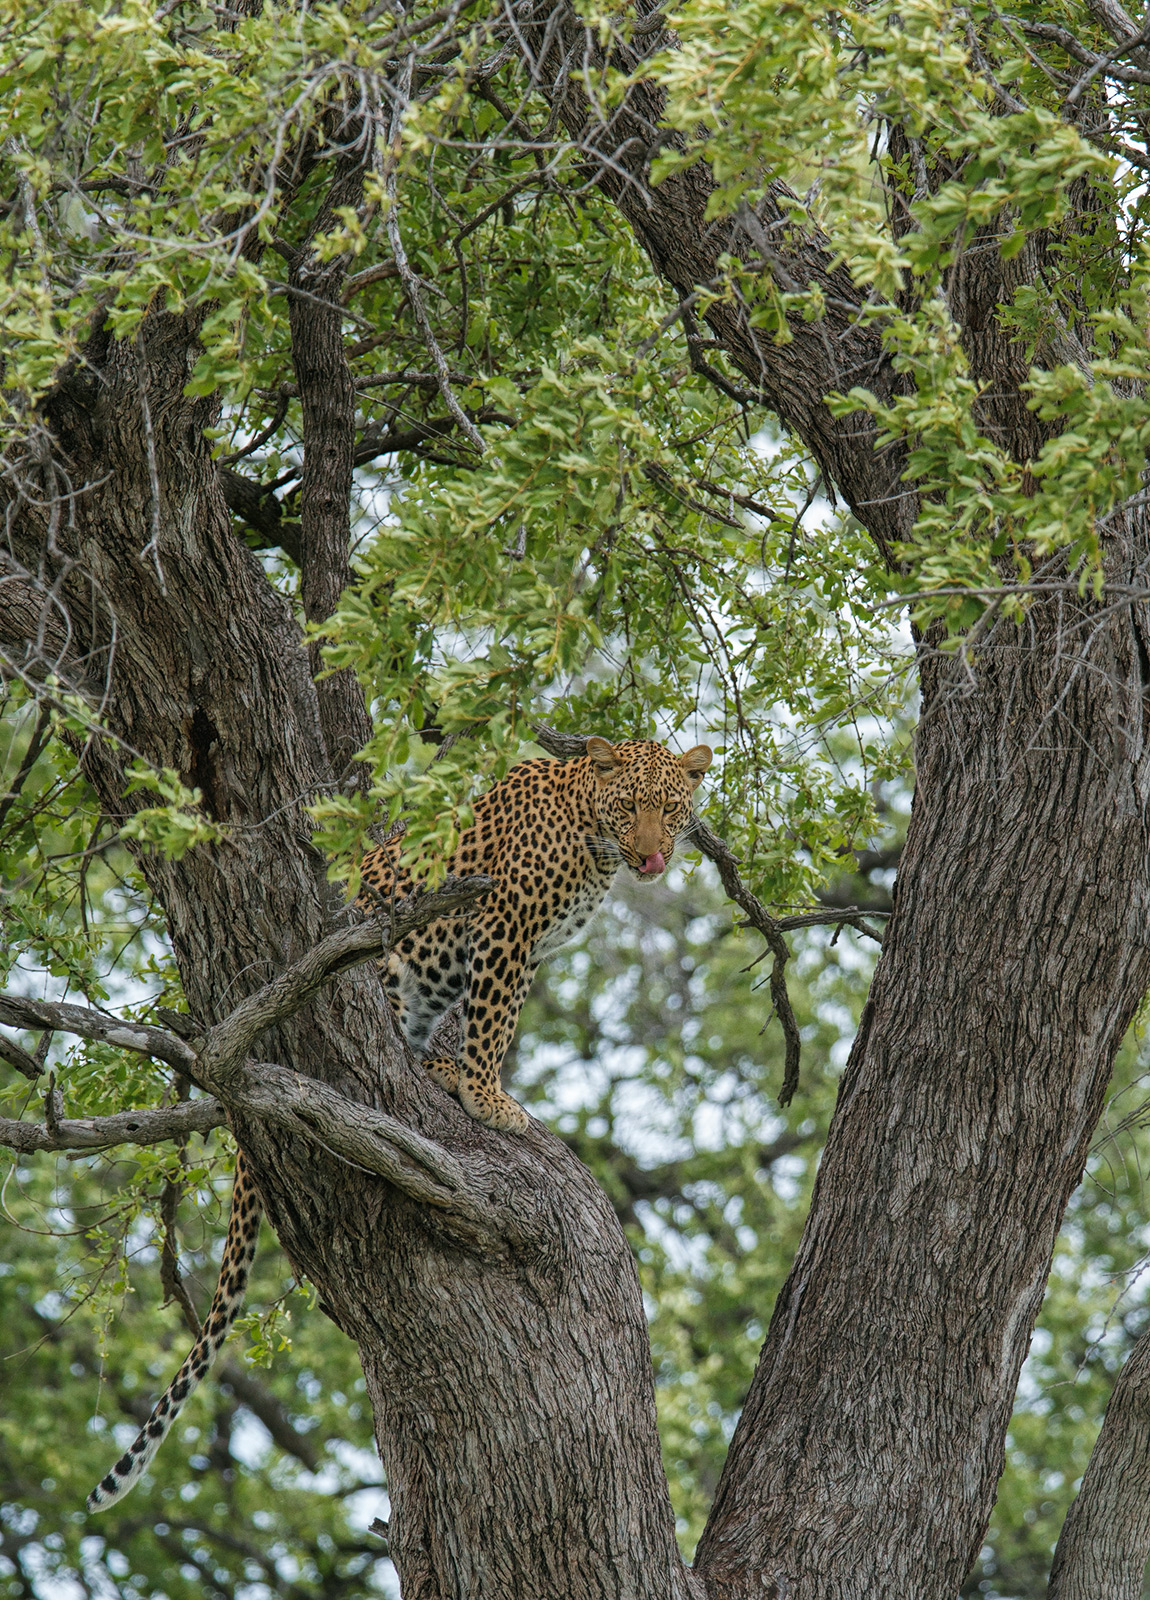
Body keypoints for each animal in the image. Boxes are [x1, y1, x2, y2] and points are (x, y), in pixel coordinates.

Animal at [85, 735, 711, 1511]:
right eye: (628, 807)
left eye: (672, 809)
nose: (653, 858)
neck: (592, 842)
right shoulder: (504, 921)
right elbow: (494, 1020)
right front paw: (487, 1098)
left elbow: (486, 1016)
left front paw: (472, 1082)